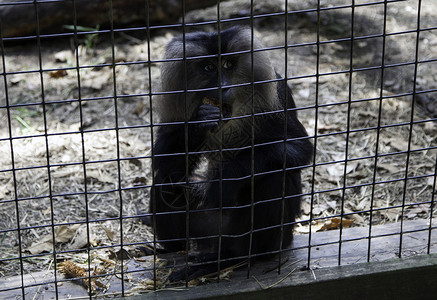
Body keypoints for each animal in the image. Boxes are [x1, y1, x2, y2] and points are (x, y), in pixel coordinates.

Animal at [148, 26, 312, 282]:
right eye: (208, 67)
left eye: (228, 65)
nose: (222, 87)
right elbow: (161, 158)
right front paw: (197, 125)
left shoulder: (278, 90)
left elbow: (299, 147)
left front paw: (227, 179)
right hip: (202, 229)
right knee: (167, 179)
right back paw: (175, 250)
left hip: (266, 237)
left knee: (276, 175)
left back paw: (232, 258)